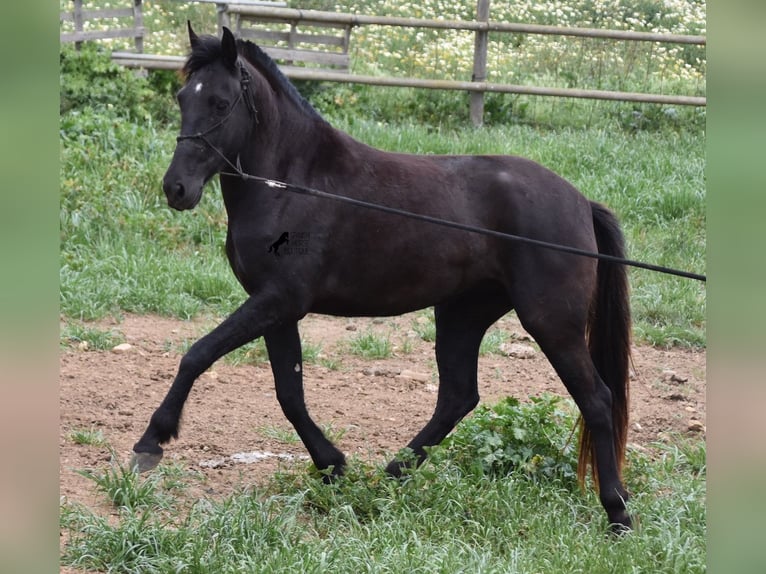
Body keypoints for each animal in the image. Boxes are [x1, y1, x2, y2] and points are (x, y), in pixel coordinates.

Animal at [134, 25, 636, 532]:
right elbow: (289, 394)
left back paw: (617, 512)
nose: (176, 189)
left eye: (220, 103)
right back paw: (391, 476)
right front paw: (333, 465)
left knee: (596, 399)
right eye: (182, 96)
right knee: (458, 397)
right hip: (462, 314)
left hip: (551, 322)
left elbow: (197, 355)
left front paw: (152, 441)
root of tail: (581, 202)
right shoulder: (277, 309)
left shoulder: (278, 300)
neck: (293, 184)